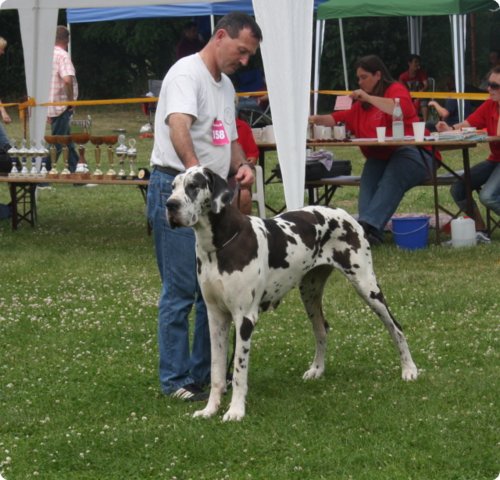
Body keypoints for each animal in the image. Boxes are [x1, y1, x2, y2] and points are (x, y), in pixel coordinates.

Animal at [165, 167, 418, 422]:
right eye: (173, 186)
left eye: (193, 186)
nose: (170, 205)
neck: (218, 246)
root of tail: (341, 212)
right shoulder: (216, 318)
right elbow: (217, 372)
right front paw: (210, 409)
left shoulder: (244, 318)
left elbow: (238, 371)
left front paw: (235, 411)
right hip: (310, 292)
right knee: (321, 330)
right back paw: (317, 369)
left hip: (367, 286)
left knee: (395, 326)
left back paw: (409, 369)